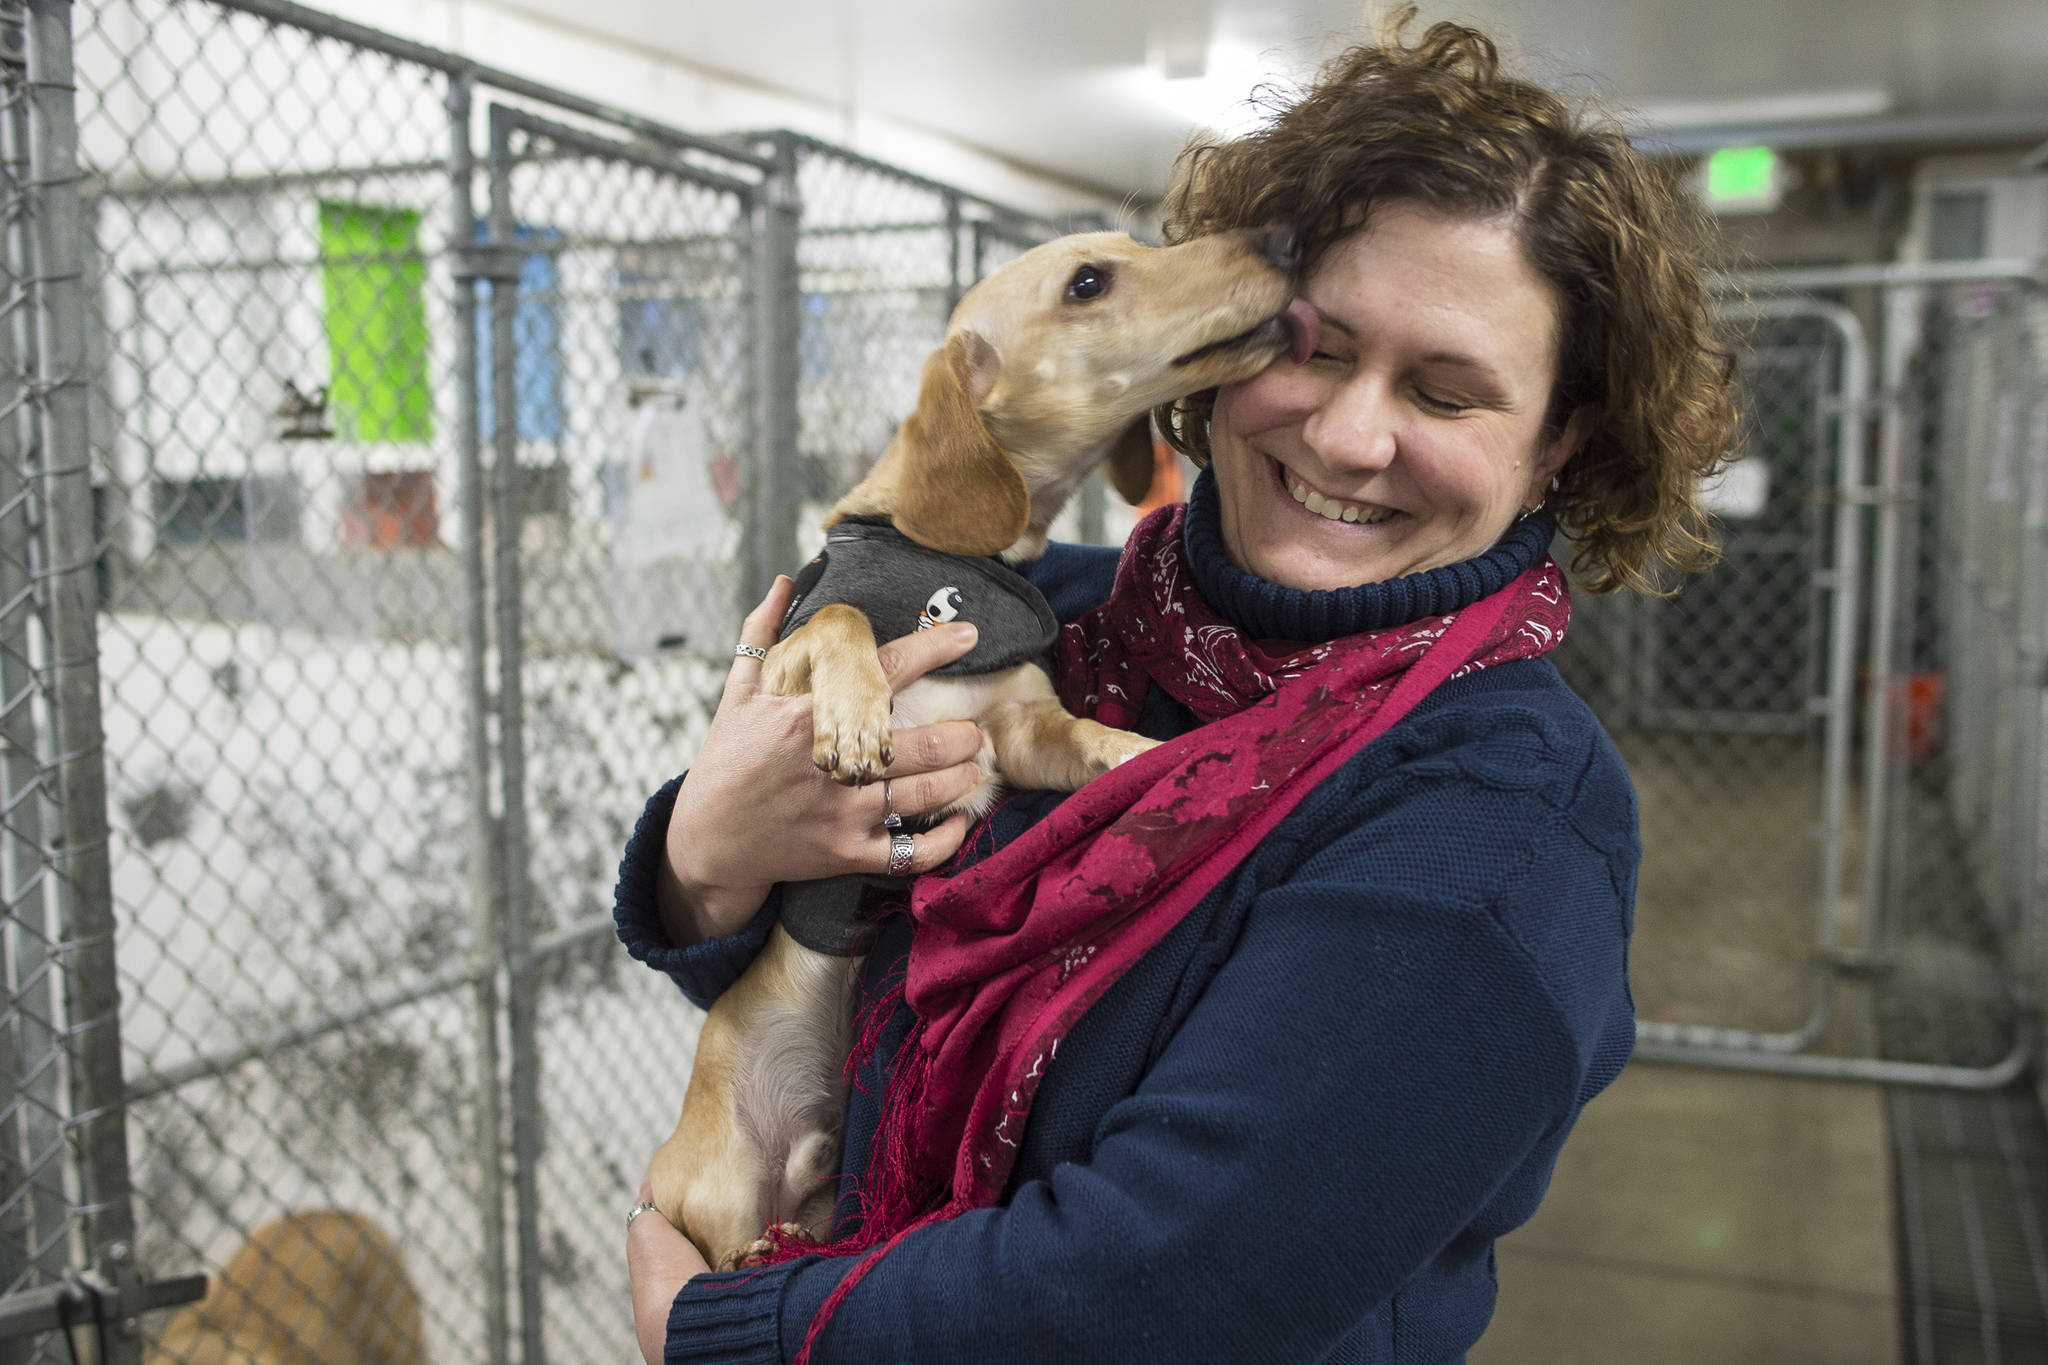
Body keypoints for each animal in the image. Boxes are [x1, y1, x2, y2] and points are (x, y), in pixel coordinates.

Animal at [647, 227, 1302, 1268]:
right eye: (1088, 283)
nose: (1279, 240)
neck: (959, 564)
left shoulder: (1019, 734)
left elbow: (1091, 737)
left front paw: (1154, 756)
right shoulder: (782, 663)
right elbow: (836, 617)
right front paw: (857, 717)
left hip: (814, 1199)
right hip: (711, 1188)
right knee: (719, 1241)